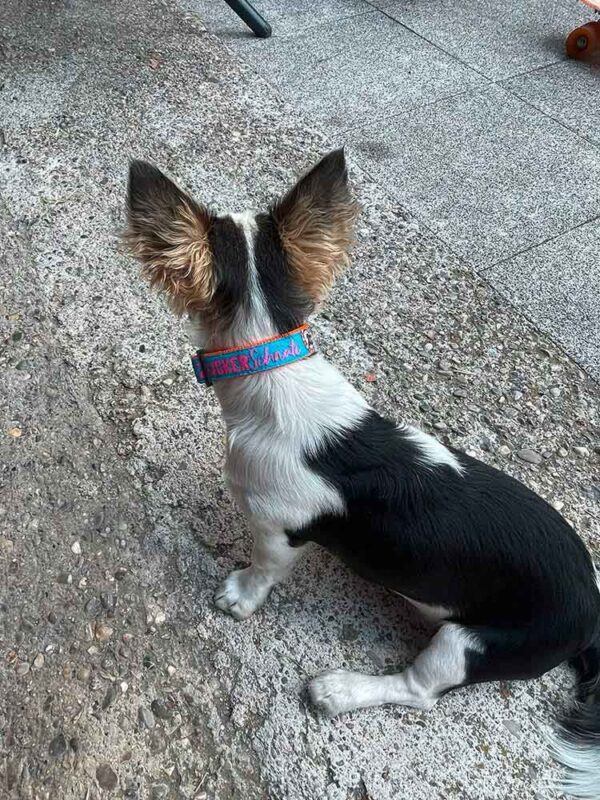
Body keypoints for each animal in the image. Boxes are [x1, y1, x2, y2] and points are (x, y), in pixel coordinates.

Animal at [123, 152, 600, 800]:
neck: (271, 367)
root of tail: (592, 611)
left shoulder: (277, 529)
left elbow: (264, 568)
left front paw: (241, 595)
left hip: (472, 643)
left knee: (420, 691)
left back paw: (340, 689)